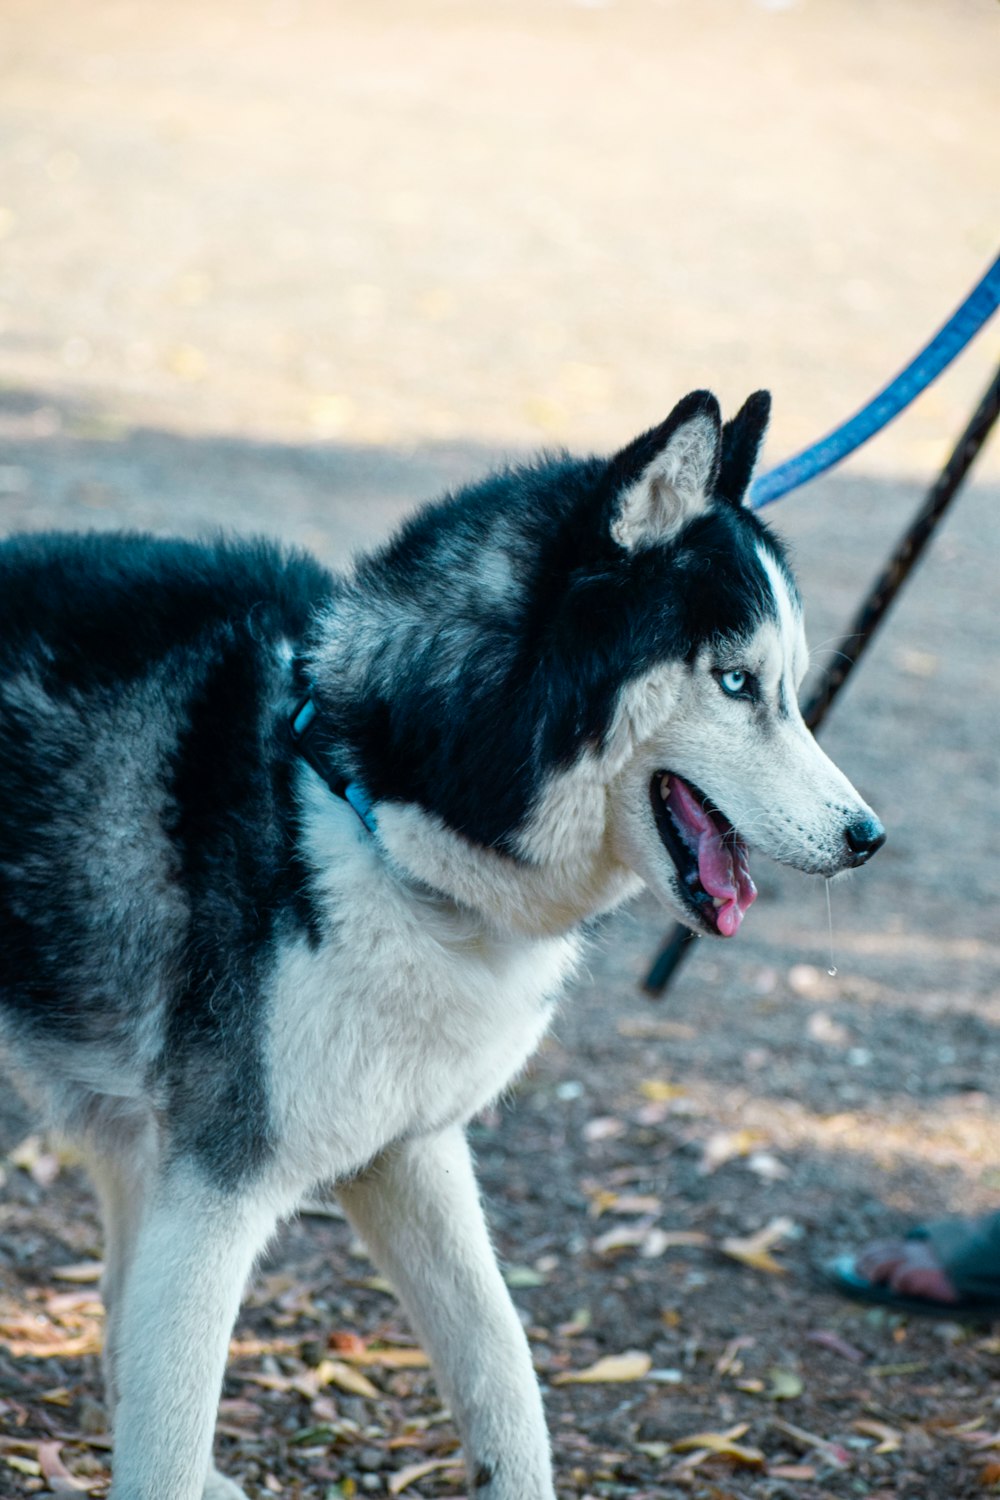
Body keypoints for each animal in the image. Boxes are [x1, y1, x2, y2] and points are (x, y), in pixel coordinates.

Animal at [0, 390, 881, 1500]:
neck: (366, 807)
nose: (867, 837)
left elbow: (502, 1376)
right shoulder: (217, 1189)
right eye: (734, 682)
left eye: (792, 690)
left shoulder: (409, 1153)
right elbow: (168, 1432)